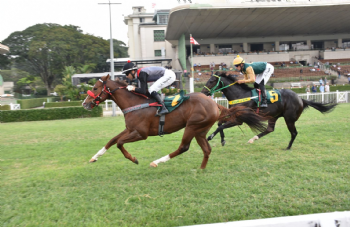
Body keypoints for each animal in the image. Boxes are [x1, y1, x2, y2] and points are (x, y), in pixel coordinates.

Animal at [82, 74, 266, 168]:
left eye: (95, 88)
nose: (84, 104)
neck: (135, 103)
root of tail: (214, 103)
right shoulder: (130, 129)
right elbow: (112, 140)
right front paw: (94, 157)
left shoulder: (141, 133)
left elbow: (119, 143)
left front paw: (134, 159)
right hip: (200, 130)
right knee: (206, 149)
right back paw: (201, 169)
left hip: (192, 126)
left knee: (184, 147)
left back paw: (157, 162)